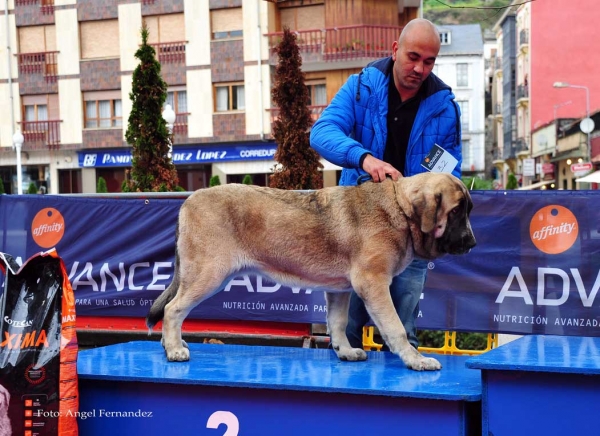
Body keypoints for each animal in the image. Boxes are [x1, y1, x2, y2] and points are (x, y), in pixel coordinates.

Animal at [148, 172, 476, 370]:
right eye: (456, 211)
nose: (472, 242)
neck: (399, 207)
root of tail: (188, 201)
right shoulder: (374, 284)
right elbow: (395, 327)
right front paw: (415, 359)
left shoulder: (340, 290)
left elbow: (338, 323)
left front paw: (345, 351)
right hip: (209, 274)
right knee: (174, 309)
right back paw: (174, 349)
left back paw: (170, 343)